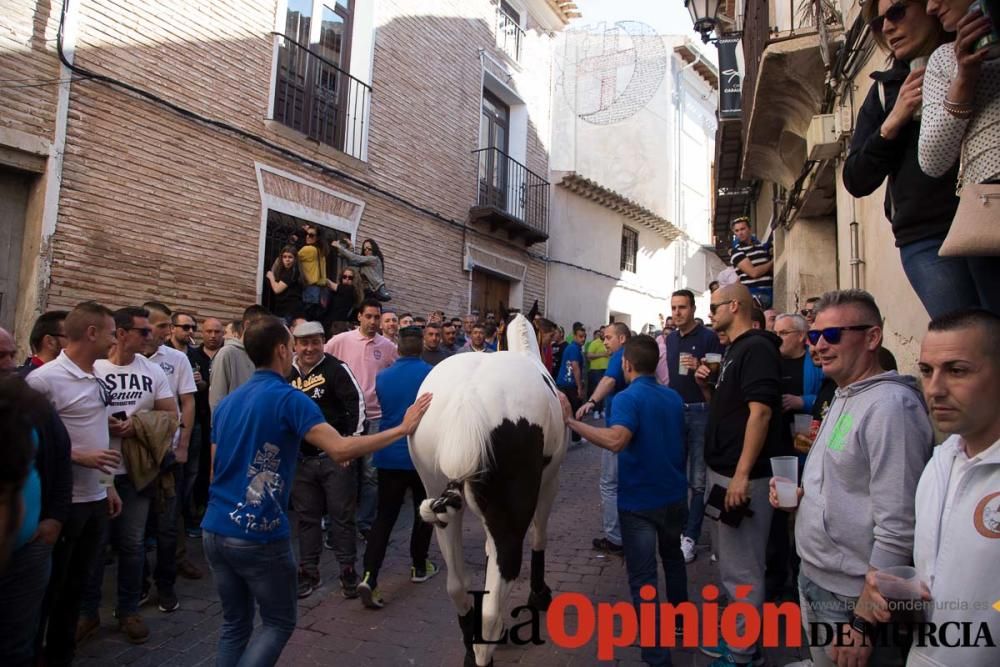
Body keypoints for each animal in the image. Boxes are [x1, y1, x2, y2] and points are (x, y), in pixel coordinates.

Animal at [408, 314, 568, 667]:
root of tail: (467, 400)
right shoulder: (549, 484)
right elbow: (540, 536)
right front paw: (539, 593)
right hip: (512, 514)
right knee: (493, 609)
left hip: (441, 505)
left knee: (457, 586)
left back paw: (471, 643)